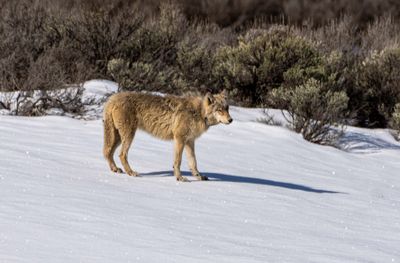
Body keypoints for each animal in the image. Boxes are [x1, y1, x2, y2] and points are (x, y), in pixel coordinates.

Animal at [103, 90, 233, 182]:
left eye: (227, 108)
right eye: (219, 110)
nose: (231, 120)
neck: (199, 113)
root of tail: (112, 99)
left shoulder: (190, 141)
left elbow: (193, 162)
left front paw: (199, 177)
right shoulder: (179, 139)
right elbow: (178, 161)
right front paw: (179, 178)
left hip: (118, 137)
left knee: (107, 152)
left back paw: (115, 169)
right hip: (128, 136)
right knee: (121, 154)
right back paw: (131, 172)